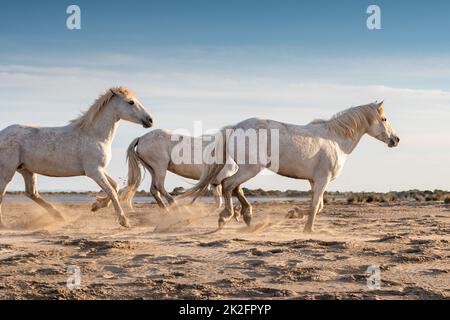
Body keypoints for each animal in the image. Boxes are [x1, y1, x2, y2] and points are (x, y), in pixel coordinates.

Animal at [0, 86, 153, 229]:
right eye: (130, 102)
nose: (150, 120)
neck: (96, 135)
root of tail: (2, 133)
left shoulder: (100, 169)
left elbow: (115, 186)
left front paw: (96, 205)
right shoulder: (94, 171)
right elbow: (111, 190)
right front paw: (124, 221)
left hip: (26, 170)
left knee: (31, 193)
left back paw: (59, 216)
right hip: (8, 171)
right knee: (3, 193)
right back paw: (3, 224)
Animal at [178, 102, 400, 232]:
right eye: (384, 119)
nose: (396, 139)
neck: (335, 139)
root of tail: (235, 127)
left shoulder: (314, 181)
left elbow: (318, 205)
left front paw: (295, 215)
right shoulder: (323, 180)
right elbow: (315, 206)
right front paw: (307, 230)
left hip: (246, 169)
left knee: (235, 187)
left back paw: (247, 216)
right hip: (251, 169)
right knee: (228, 185)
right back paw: (226, 217)